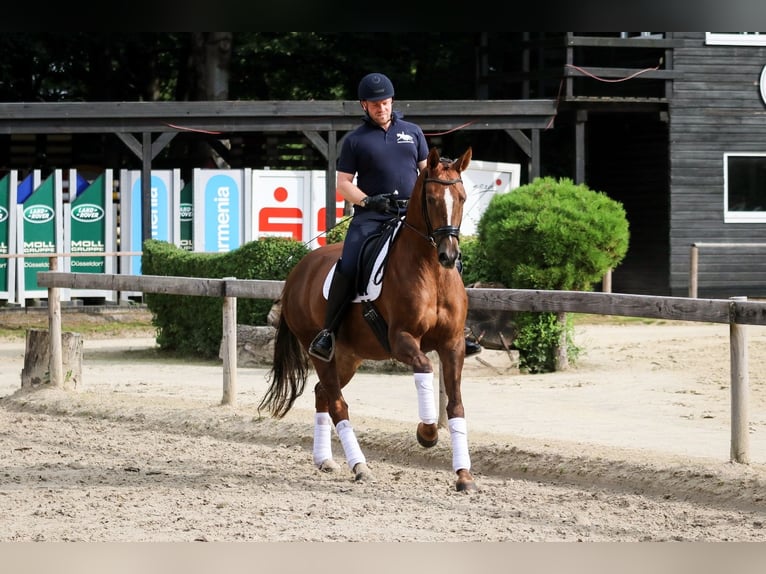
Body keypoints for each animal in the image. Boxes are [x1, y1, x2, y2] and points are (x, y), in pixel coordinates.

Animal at [260, 146, 476, 492]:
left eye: (462, 197)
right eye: (431, 199)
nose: (449, 255)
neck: (431, 272)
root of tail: (298, 271)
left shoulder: (453, 344)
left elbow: (455, 404)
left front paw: (464, 475)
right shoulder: (402, 340)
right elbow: (425, 369)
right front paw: (427, 433)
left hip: (349, 356)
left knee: (323, 393)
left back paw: (325, 460)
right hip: (319, 349)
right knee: (337, 402)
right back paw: (359, 466)